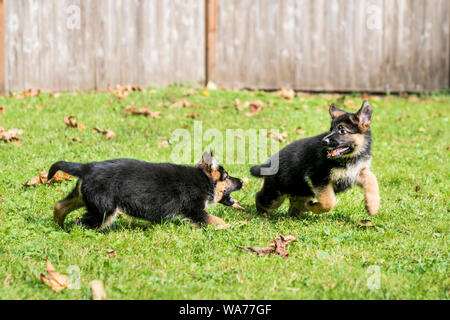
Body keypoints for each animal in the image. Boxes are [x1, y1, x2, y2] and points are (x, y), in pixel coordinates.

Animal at [250, 100, 380, 218]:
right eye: (331, 129)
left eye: (342, 131)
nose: (324, 142)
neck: (349, 157)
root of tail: (269, 163)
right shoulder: (319, 178)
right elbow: (329, 202)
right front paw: (313, 207)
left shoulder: (356, 172)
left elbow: (372, 179)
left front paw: (373, 206)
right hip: (276, 194)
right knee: (260, 197)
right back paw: (263, 214)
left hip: (301, 191)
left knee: (294, 205)